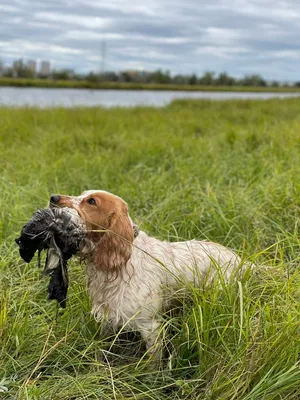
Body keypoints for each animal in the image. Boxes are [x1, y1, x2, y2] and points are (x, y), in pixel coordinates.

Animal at [50, 190, 244, 354]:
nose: (53, 198)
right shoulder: (107, 318)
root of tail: (240, 261)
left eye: (91, 201)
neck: (122, 264)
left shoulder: (150, 327)